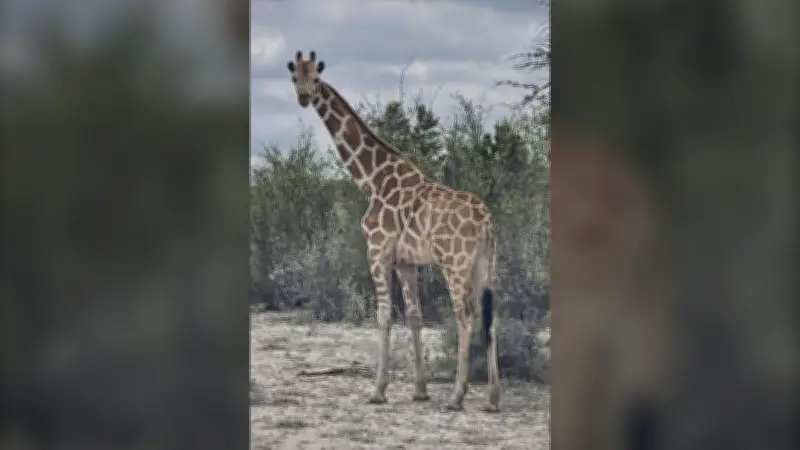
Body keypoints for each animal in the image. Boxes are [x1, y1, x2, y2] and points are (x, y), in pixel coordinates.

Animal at [287, 50, 501, 412]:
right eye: (294, 77)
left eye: (315, 77)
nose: (303, 97)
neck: (372, 180)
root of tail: (486, 222)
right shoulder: (406, 261)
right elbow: (414, 316)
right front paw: (420, 390)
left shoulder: (377, 251)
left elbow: (384, 316)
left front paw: (378, 390)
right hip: (485, 264)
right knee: (489, 316)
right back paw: (492, 398)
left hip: (455, 264)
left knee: (466, 316)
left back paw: (457, 396)